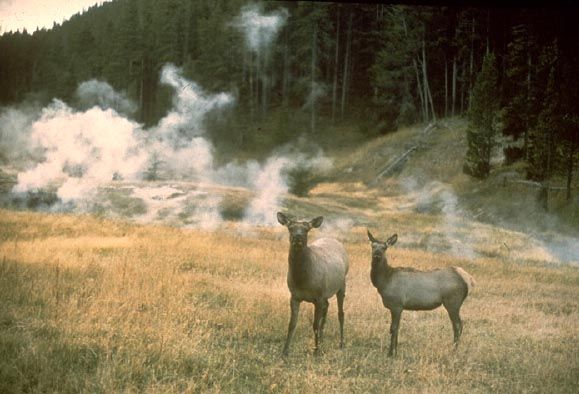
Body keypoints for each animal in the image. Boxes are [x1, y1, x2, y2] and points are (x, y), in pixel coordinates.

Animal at [276, 214, 348, 356]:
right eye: (290, 228)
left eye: (306, 230)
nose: (297, 237)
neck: (302, 281)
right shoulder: (294, 296)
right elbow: (292, 324)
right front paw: (285, 351)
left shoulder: (318, 297)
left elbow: (315, 324)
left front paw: (316, 351)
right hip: (326, 292)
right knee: (327, 307)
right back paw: (322, 339)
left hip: (342, 284)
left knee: (340, 313)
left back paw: (341, 343)